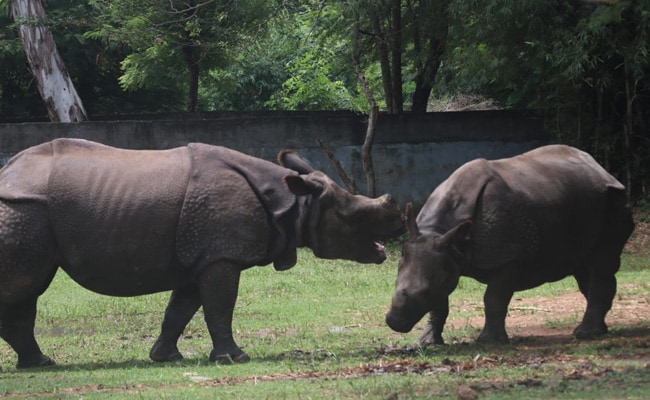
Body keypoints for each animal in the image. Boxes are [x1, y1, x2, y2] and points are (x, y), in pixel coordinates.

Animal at [0, 138, 405, 368]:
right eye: (355, 217)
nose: (399, 225)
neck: (292, 202)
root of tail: (7, 171)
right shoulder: (221, 255)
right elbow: (219, 307)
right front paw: (235, 358)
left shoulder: (204, 255)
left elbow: (181, 308)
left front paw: (166, 357)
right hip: (23, 209)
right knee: (24, 285)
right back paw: (40, 365)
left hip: (27, 210)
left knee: (25, 292)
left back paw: (40, 364)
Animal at [386, 144, 634, 345]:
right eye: (394, 286)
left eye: (423, 292)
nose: (394, 322)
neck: (442, 234)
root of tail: (602, 170)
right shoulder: (445, 258)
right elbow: (439, 304)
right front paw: (425, 343)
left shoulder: (507, 258)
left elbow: (493, 299)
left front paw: (489, 341)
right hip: (584, 204)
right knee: (584, 266)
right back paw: (599, 330)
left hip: (614, 201)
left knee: (601, 262)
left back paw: (585, 334)